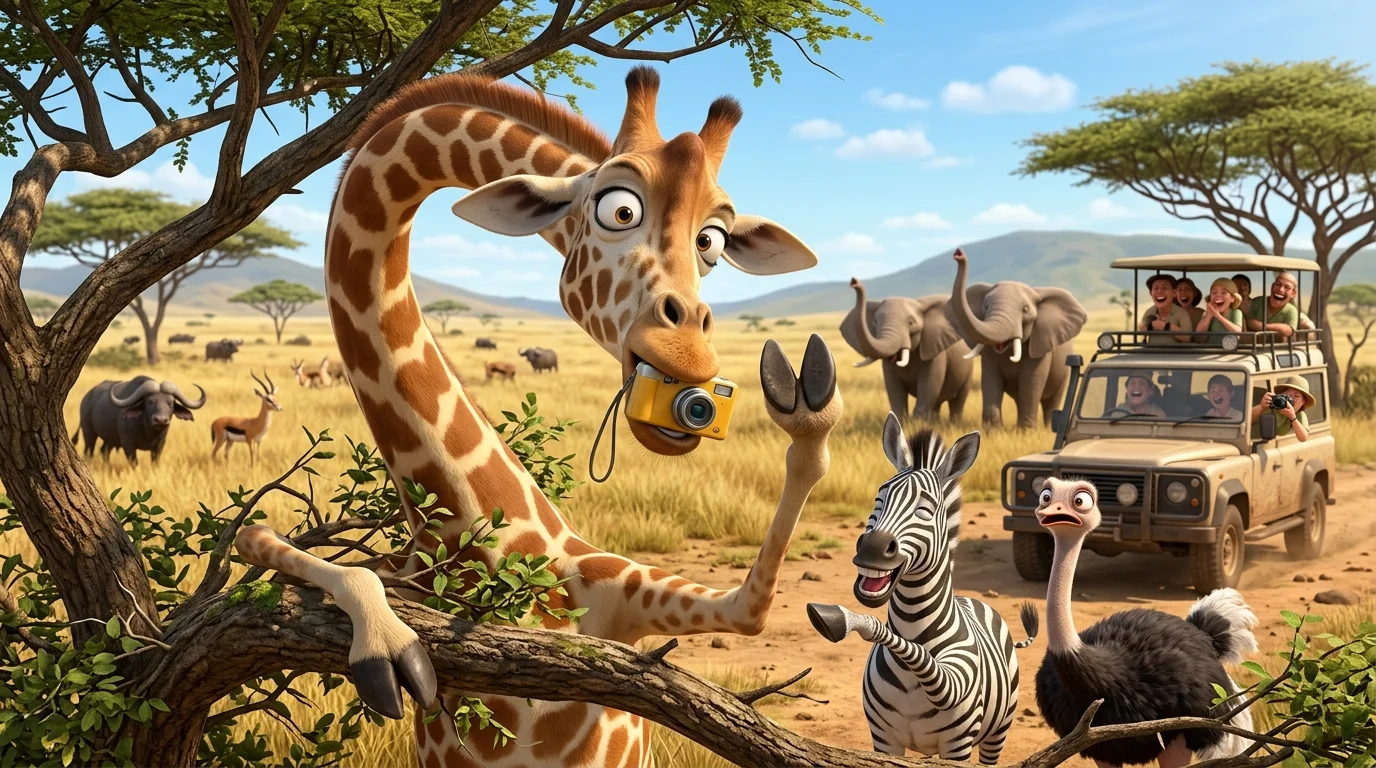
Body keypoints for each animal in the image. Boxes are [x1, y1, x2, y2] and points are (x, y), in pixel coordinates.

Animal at [232, 67, 838, 767]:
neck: (474, 546)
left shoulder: (622, 606)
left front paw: (806, 398)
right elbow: (263, 538)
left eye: (712, 243)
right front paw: (387, 644)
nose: (690, 353)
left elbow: (751, 608)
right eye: (618, 208)